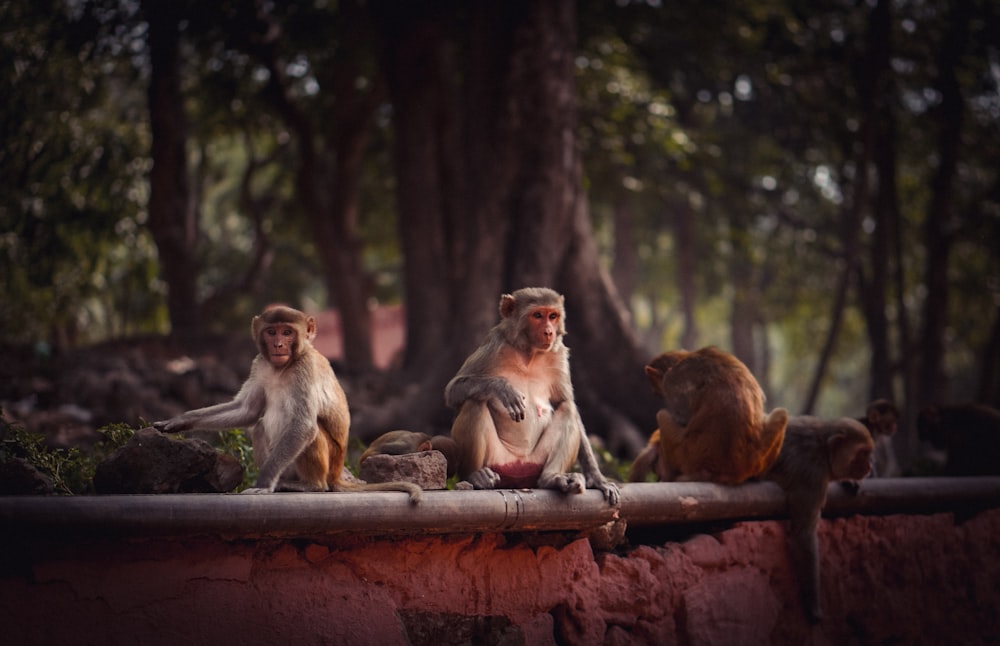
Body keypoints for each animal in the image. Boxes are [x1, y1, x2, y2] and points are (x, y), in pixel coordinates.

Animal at [152, 306, 422, 504]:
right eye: (272, 332)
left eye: (287, 332)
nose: (278, 345)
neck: (282, 367)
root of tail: (337, 473)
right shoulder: (260, 364)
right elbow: (248, 411)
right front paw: (180, 420)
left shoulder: (305, 369)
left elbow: (303, 425)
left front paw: (262, 484)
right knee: (260, 426)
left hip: (327, 463)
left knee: (311, 432)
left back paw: (311, 486)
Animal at [444, 288, 616, 506]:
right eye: (538, 315)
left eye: (553, 316)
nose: (549, 331)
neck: (528, 353)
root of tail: (518, 475)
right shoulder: (493, 345)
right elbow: (453, 391)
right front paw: (502, 388)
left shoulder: (558, 355)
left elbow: (565, 402)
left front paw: (597, 478)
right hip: (498, 461)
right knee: (474, 402)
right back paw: (475, 476)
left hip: (535, 464)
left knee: (567, 409)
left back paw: (552, 478)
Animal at [632, 350, 788, 486]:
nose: (656, 393)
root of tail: (733, 473)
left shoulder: (672, 380)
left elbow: (682, 418)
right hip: (756, 460)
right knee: (781, 414)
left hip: (688, 457)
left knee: (662, 415)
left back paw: (669, 477)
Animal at [760, 418, 872, 624]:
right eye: (862, 453)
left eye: (868, 453)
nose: (869, 467)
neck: (823, 448)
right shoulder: (813, 474)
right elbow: (803, 537)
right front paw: (813, 607)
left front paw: (847, 481)